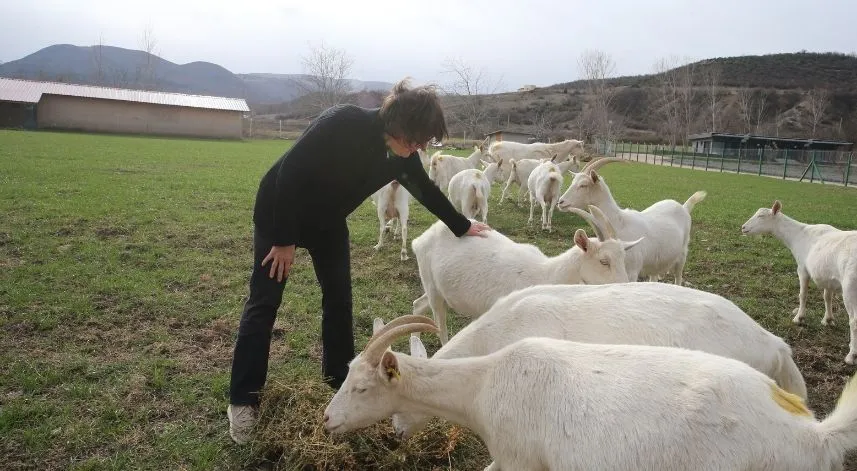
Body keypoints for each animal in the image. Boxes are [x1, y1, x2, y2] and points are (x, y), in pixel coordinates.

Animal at [410, 208, 640, 344]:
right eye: (604, 261)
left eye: (623, 258)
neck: (547, 274)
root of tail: (422, 238)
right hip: (432, 287)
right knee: (439, 321)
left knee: (418, 304)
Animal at [552, 159, 704, 284]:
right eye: (573, 182)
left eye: (583, 185)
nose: (561, 202)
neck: (619, 222)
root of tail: (684, 207)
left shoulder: (632, 271)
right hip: (656, 263)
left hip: (682, 255)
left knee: (678, 277)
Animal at [740, 199, 856, 366]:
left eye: (761, 216)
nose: (743, 228)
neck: (798, 235)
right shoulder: (827, 276)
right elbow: (827, 297)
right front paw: (827, 320)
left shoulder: (802, 268)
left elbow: (803, 294)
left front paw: (799, 318)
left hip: (850, 285)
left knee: (854, 321)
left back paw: (851, 355)